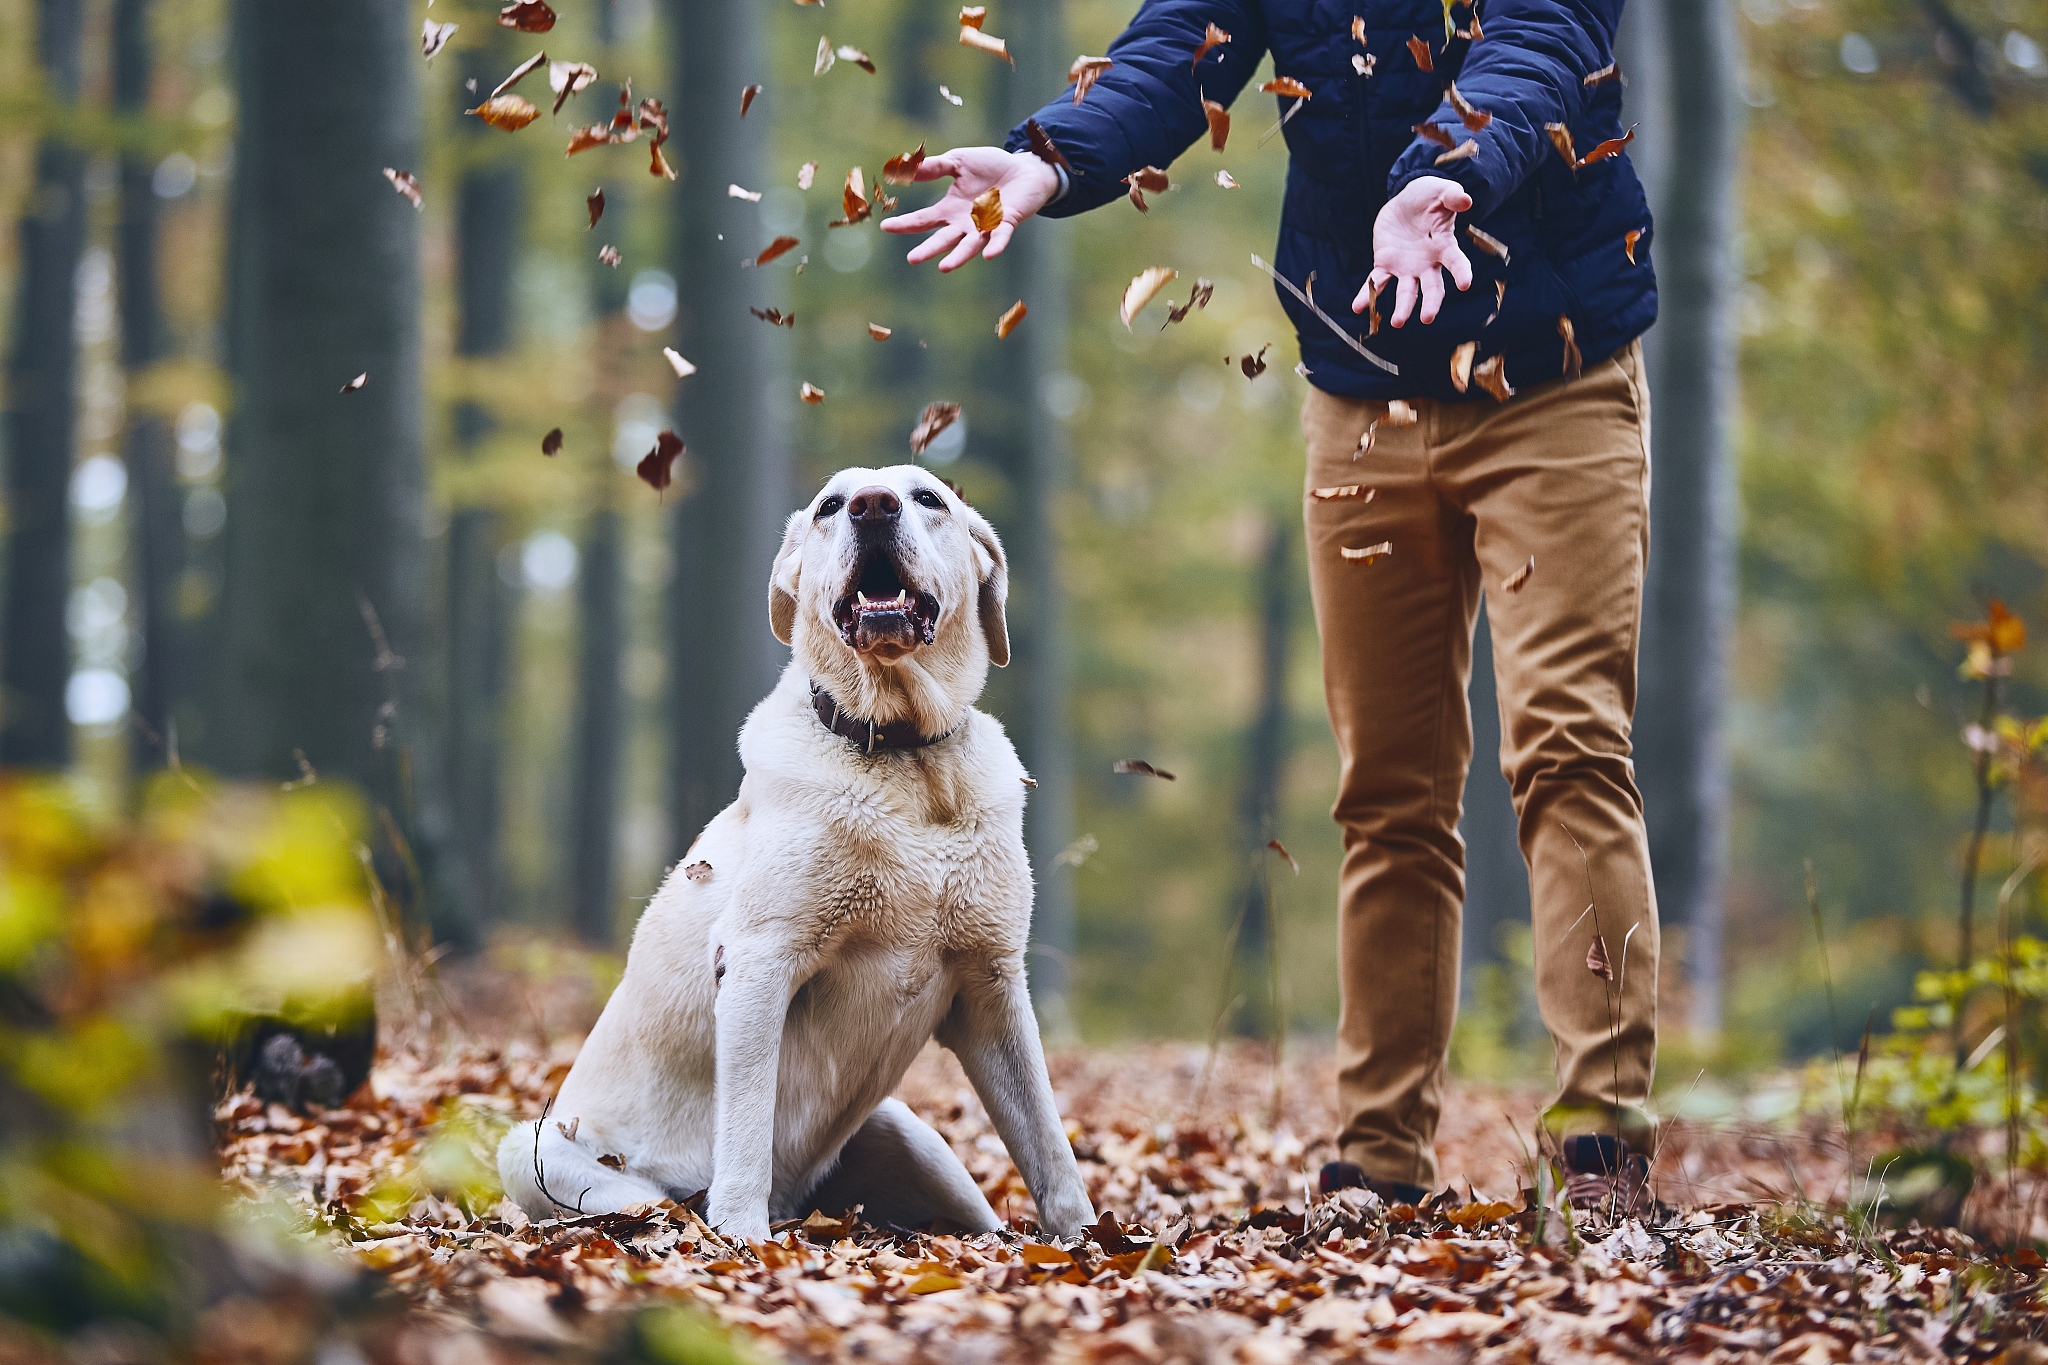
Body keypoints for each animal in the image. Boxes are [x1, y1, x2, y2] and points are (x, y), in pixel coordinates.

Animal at [497, 464, 1097, 1244]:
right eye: (830, 506)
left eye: (928, 498)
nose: (874, 506)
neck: (908, 761)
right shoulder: (760, 960)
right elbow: (748, 1124)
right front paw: (742, 1240)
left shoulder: (991, 985)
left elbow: (1049, 1143)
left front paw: (1088, 1243)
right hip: (535, 1149)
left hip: (911, 1133)